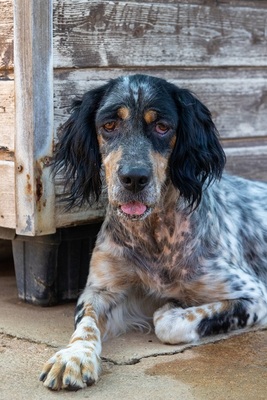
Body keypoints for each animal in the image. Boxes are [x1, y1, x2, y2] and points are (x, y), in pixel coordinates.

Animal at [40, 75, 267, 390]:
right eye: (109, 125)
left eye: (162, 127)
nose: (134, 178)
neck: (154, 237)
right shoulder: (100, 289)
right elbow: (85, 324)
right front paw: (74, 356)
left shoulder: (254, 294)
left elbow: (170, 324)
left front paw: (171, 306)